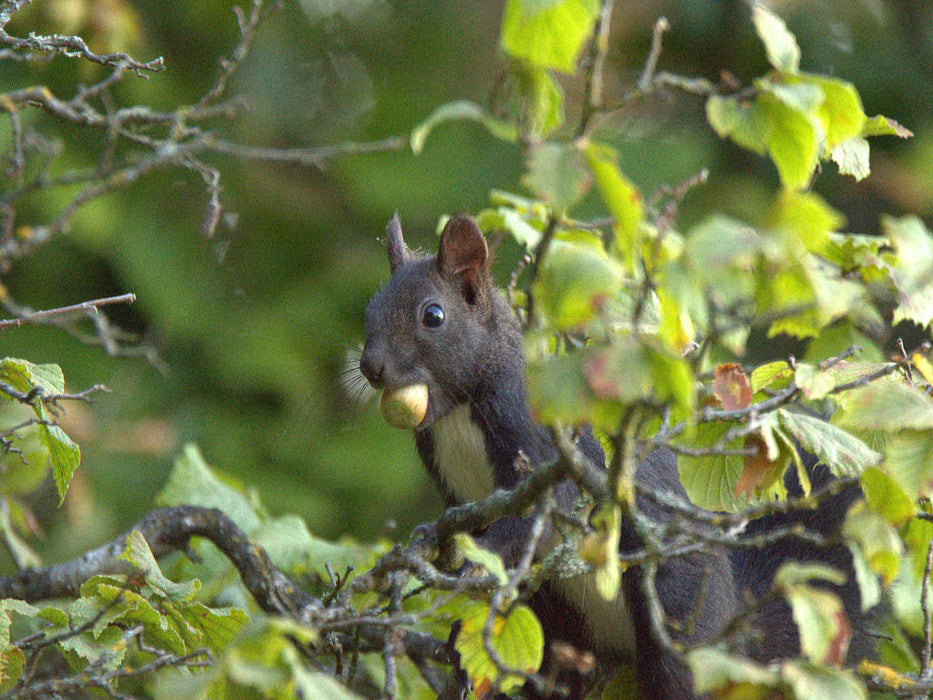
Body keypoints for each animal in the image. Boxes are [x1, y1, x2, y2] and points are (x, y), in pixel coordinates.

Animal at [359, 214, 871, 698]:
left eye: (433, 315)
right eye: (370, 310)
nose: (370, 367)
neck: (459, 411)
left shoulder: (539, 441)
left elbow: (535, 517)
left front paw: (477, 558)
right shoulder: (451, 483)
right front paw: (432, 541)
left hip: (678, 617)